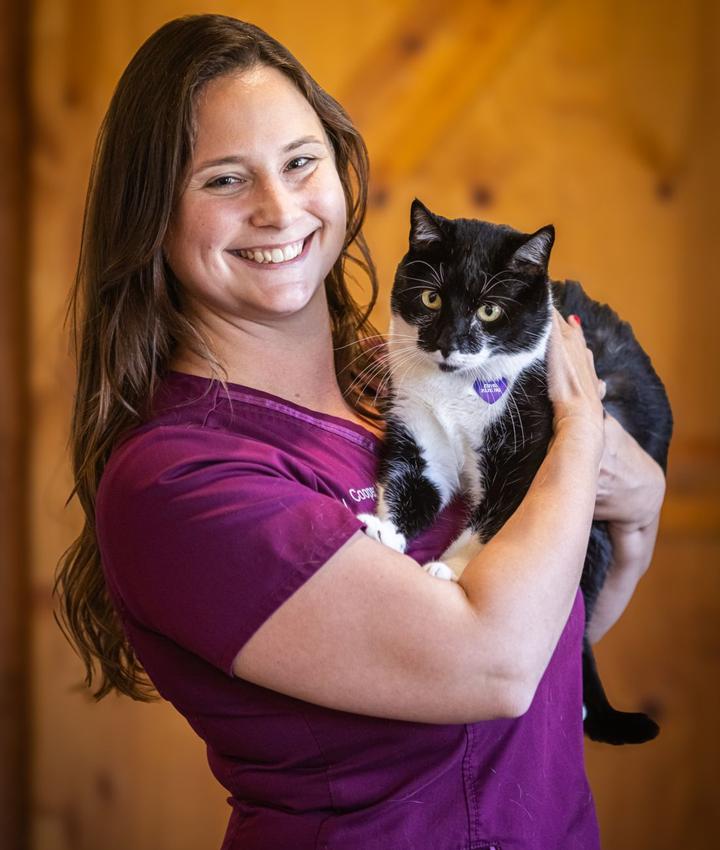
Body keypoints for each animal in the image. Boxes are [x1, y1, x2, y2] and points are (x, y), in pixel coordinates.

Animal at [362, 199, 672, 744]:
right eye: (431, 298)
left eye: (489, 310)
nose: (447, 344)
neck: (457, 390)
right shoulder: (419, 428)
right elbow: (410, 481)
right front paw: (386, 530)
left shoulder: (532, 447)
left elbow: (497, 515)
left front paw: (450, 568)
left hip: (595, 530)